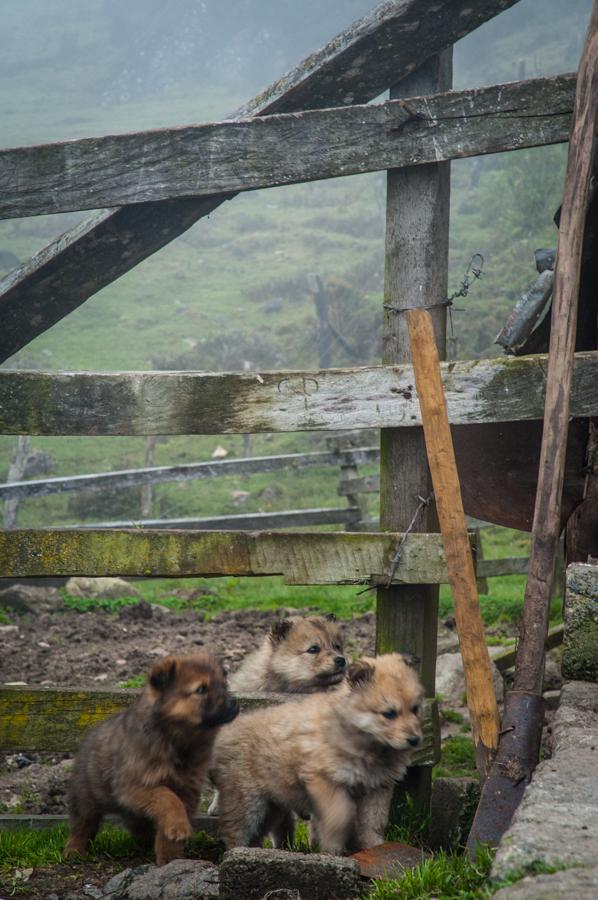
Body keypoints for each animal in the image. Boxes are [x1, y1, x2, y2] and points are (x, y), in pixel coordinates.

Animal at [62, 652, 237, 864]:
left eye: (224, 684)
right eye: (201, 689)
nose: (235, 703)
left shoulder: (187, 789)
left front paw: (170, 857)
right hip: (86, 796)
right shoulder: (135, 786)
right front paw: (178, 828)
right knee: (82, 824)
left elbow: (168, 819)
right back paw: (73, 852)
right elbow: (166, 797)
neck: (178, 742)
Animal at [213, 652, 424, 856]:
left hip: (271, 807)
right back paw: (236, 852)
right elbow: (340, 815)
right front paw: (333, 849)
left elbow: (373, 823)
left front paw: (375, 848)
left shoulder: (377, 789)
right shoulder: (325, 780)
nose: (414, 740)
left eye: (415, 709)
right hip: (245, 801)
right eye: (389, 714)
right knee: (235, 830)